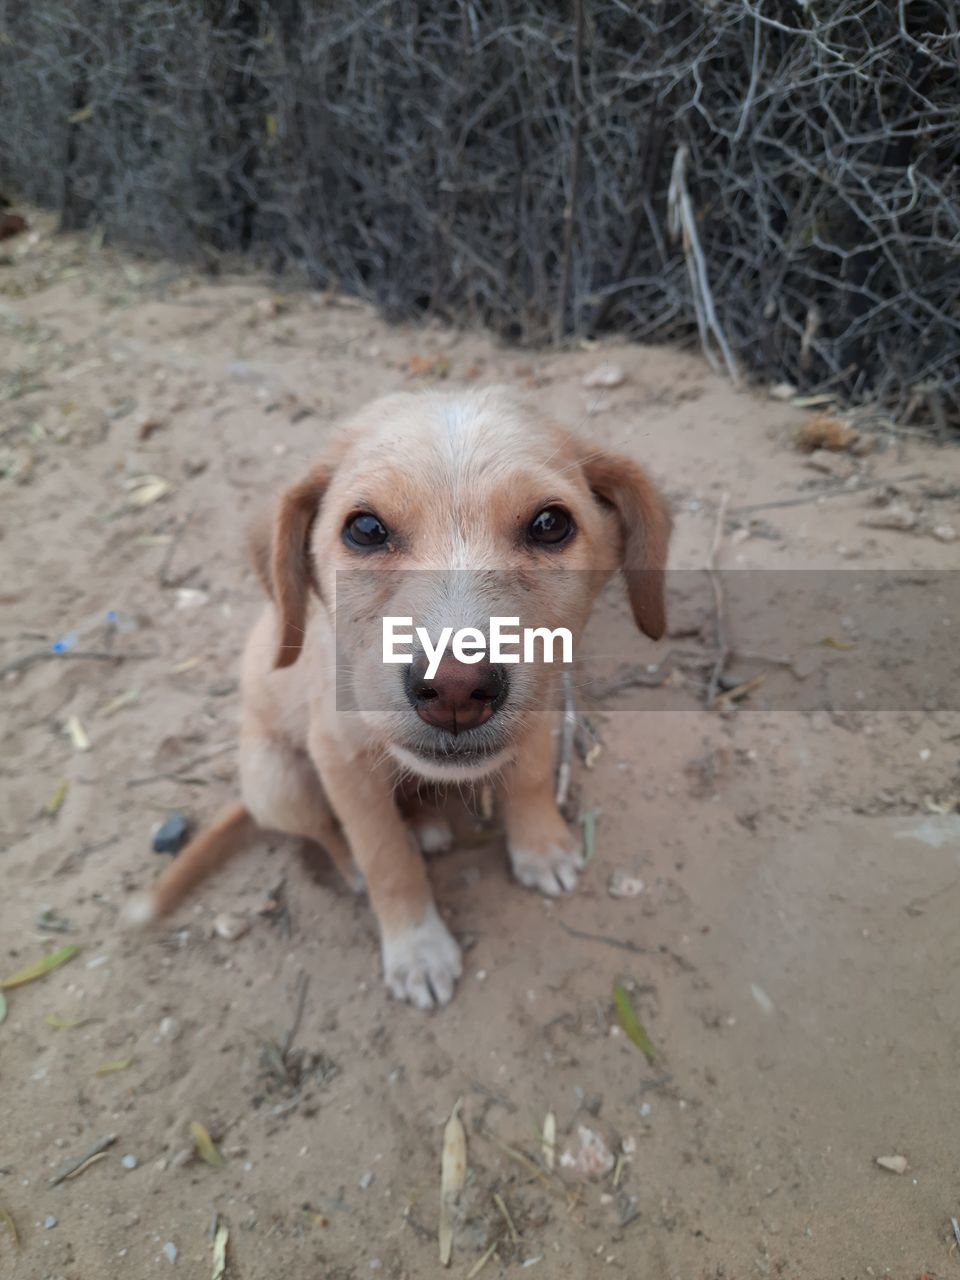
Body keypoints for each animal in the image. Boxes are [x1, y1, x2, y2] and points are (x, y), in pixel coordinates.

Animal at [126, 384, 670, 1003]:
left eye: (550, 523)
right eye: (365, 530)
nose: (457, 688)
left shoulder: (545, 701)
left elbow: (530, 778)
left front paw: (541, 846)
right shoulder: (339, 758)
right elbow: (384, 855)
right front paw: (417, 947)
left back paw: (427, 823)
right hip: (276, 781)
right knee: (328, 834)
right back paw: (363, 863)